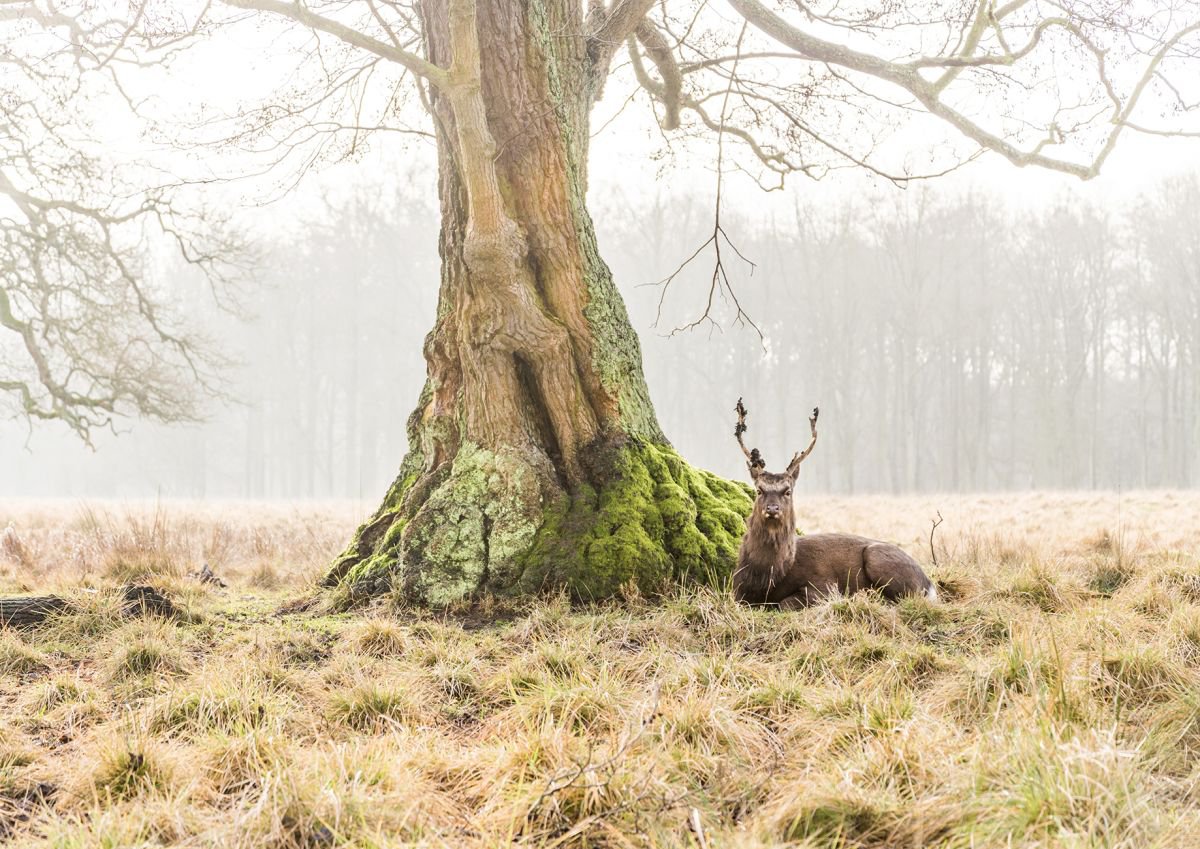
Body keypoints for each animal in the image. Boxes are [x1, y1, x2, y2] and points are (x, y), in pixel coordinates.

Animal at [732, 399, 937, 609]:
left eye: (788, 491)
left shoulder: (825, 586)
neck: (767, 579)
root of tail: (930, 585)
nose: (772, 509)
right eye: (759, 490)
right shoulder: (737, 591)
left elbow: (785, 603)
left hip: (879, 558)